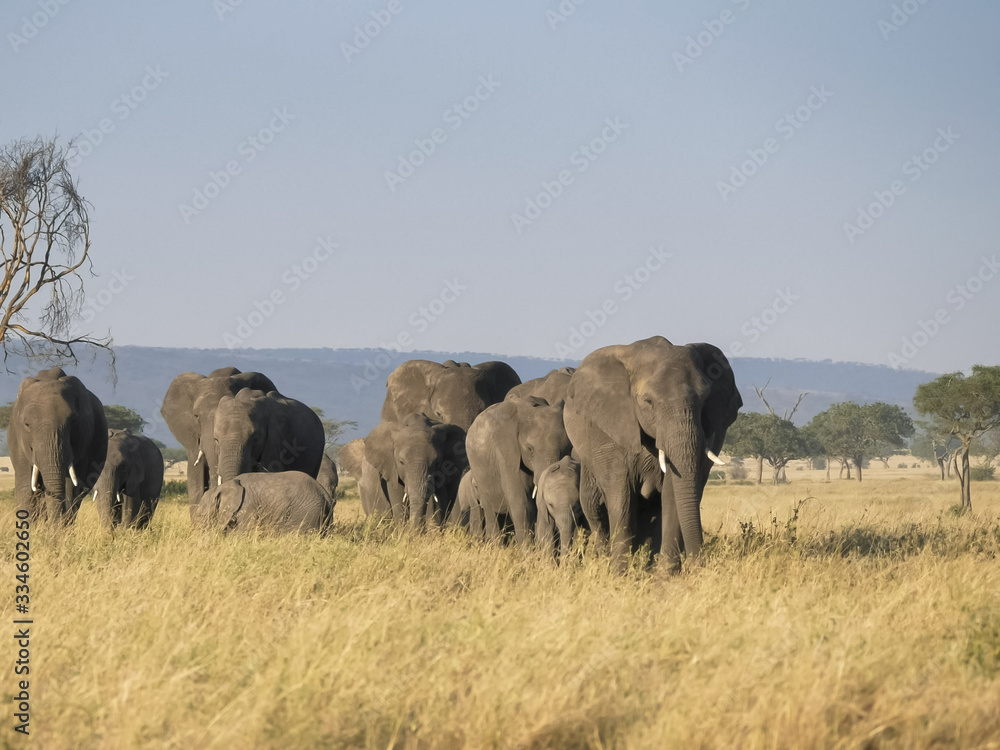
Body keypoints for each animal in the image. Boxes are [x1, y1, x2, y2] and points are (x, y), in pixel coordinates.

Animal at [9, 367, 108, 523]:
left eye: (73, 421)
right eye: (27, 425)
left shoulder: (84, 439)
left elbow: (70, 488)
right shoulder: (17, 440)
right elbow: (26, 488)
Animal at [465, 396, 573, 544]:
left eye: (568, 448)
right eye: (530, 449)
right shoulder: (505, 451)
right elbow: (521, 503)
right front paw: (527, 550)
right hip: (478, 473)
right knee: (491, 512)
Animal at [563, 336, 742, 572]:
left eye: (705, 400)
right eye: (648, 402)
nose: (698, 566)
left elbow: (671, 493)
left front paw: (665, 576)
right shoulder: (610, 425)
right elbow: (621, 494)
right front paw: (619, 575)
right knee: (595, 510)